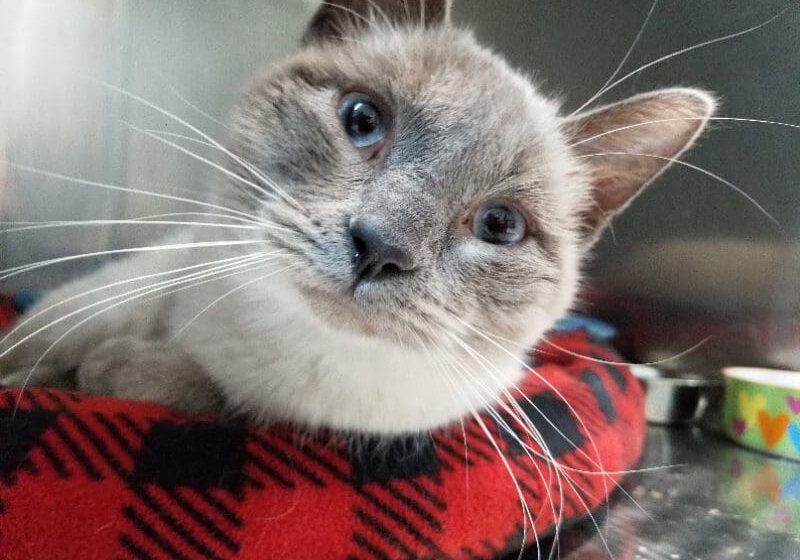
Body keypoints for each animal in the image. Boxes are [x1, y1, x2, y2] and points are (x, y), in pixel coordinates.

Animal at [0, 0, 712, 436]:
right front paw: (61, 370)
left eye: (500, 227)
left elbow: (206, 396)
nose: (378, 248)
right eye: (363, 119)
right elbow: (33, 358)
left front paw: (117, 373)